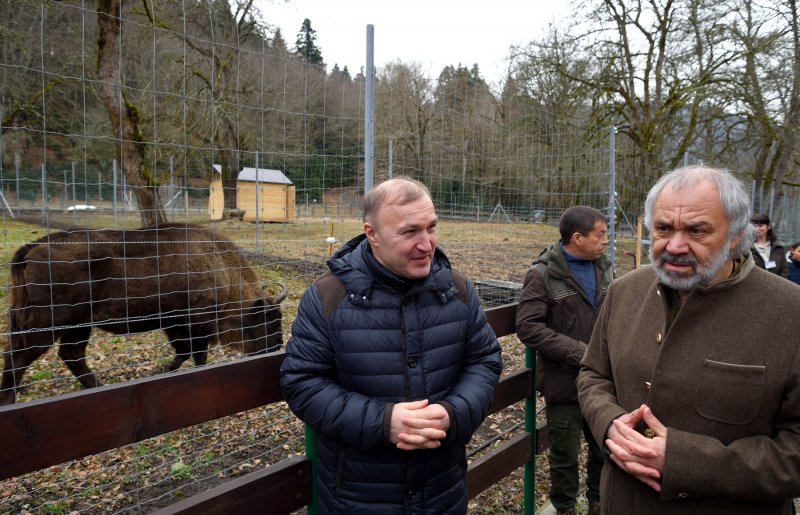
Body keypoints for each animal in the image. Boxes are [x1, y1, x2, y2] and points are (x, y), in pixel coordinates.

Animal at [0, 224, 288, 406]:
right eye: (270, 320)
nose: (276, 347)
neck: (221, 268)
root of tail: (31, 248)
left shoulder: (174, 324)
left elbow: (183, 352)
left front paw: (162, 371)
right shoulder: (196, 324)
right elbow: (197, 355)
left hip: (78, 325)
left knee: (70, 355)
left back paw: (98, 387)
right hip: (50, 325)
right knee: (19, 357)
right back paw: (9, 400)